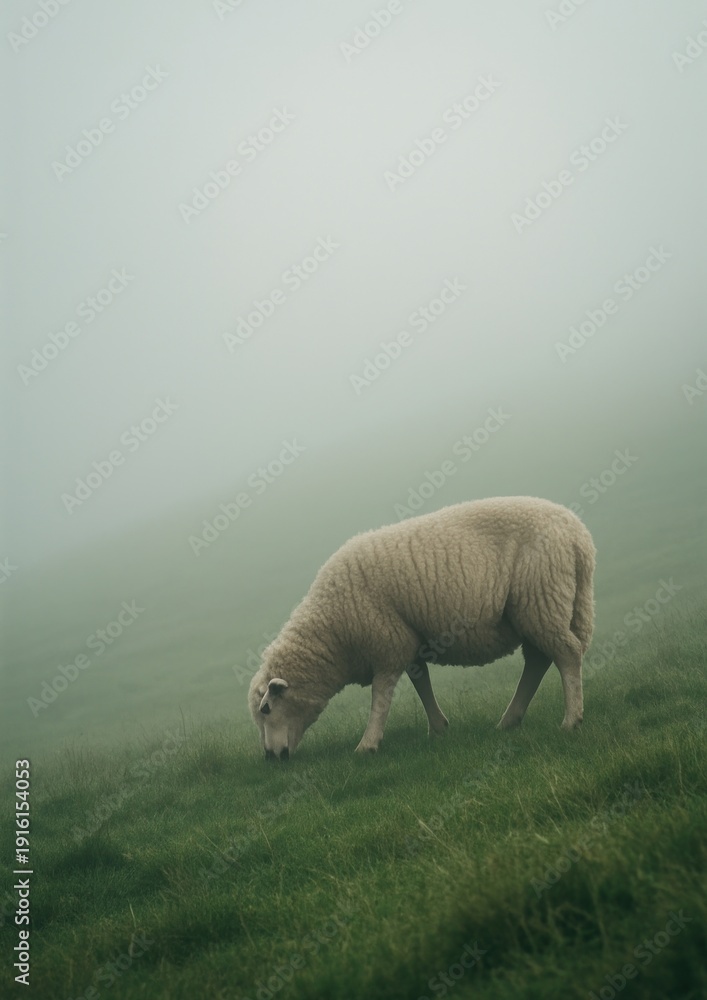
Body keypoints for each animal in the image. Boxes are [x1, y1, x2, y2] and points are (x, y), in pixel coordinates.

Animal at [248, 496, 595, 759]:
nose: (271, 757)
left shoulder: (386, 642)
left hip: (541, 597)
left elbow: (381, 697)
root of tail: (579, 536)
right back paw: (510, 720)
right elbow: (421, 680)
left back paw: (572, 720)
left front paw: (368, 744)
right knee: (538, 660)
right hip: (536, 607)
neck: (333, 632)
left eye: (266, 709)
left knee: (566, 653)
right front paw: (438, 727)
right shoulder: (407, 638)